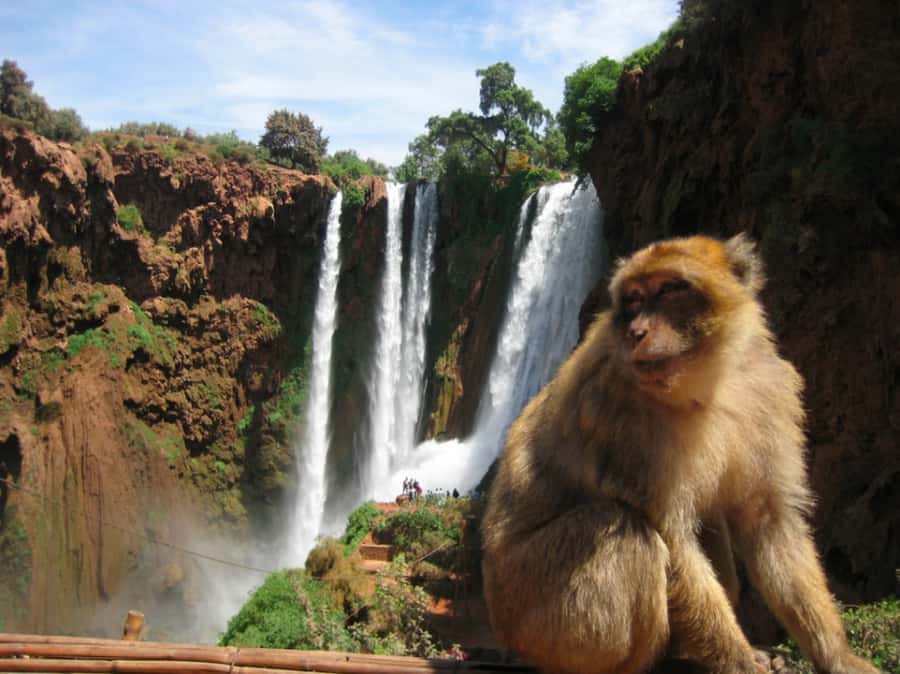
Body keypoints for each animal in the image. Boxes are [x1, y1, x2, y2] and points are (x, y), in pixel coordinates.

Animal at [481, 235, 880, 674]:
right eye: (634, 299)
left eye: (670, 290)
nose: (637, 331)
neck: (705, 385)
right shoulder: (620, 415)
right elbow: (673, 536)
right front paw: (739, 661)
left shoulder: (767, 389)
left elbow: (767, 520)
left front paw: (837, 656)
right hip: (534, 611)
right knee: (625, 530)